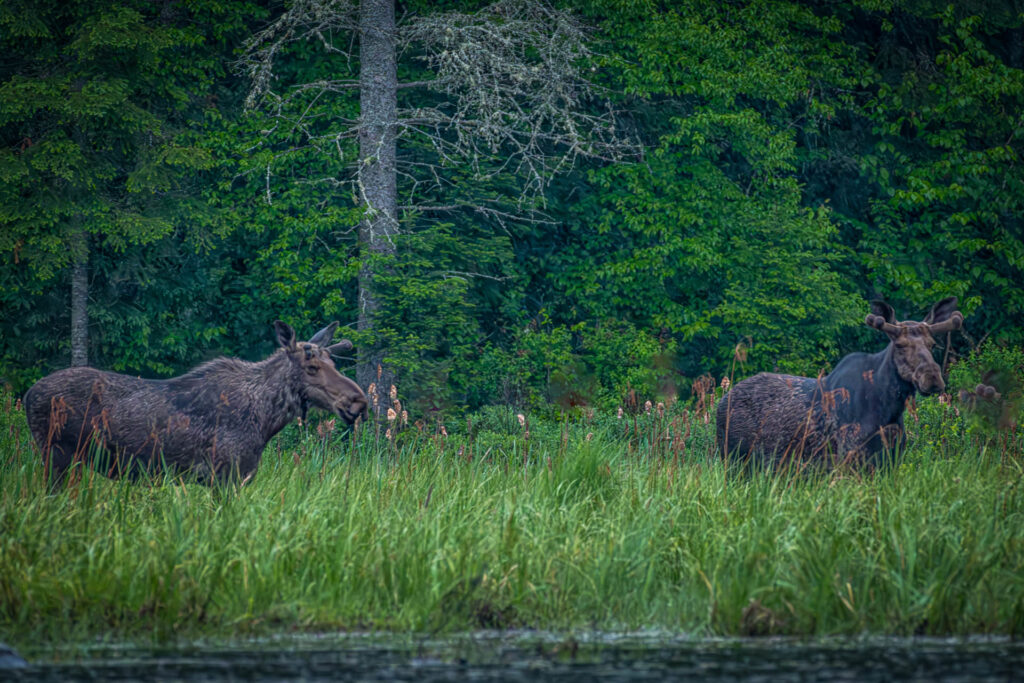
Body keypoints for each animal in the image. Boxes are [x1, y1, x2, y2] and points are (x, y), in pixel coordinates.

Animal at [22, 321, 368, 485]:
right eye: (312, 367)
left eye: (333, 362)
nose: (359, 401)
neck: (266, 419)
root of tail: (27, 395)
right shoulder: (226, 475)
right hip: (57, 456)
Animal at [716, 296, 962, 466]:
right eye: (900, 345)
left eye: (932, 344)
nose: (932, 377)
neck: (887, 410)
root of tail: (722, 401)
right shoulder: (847, 457)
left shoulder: (890, 460)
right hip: (734, 458)